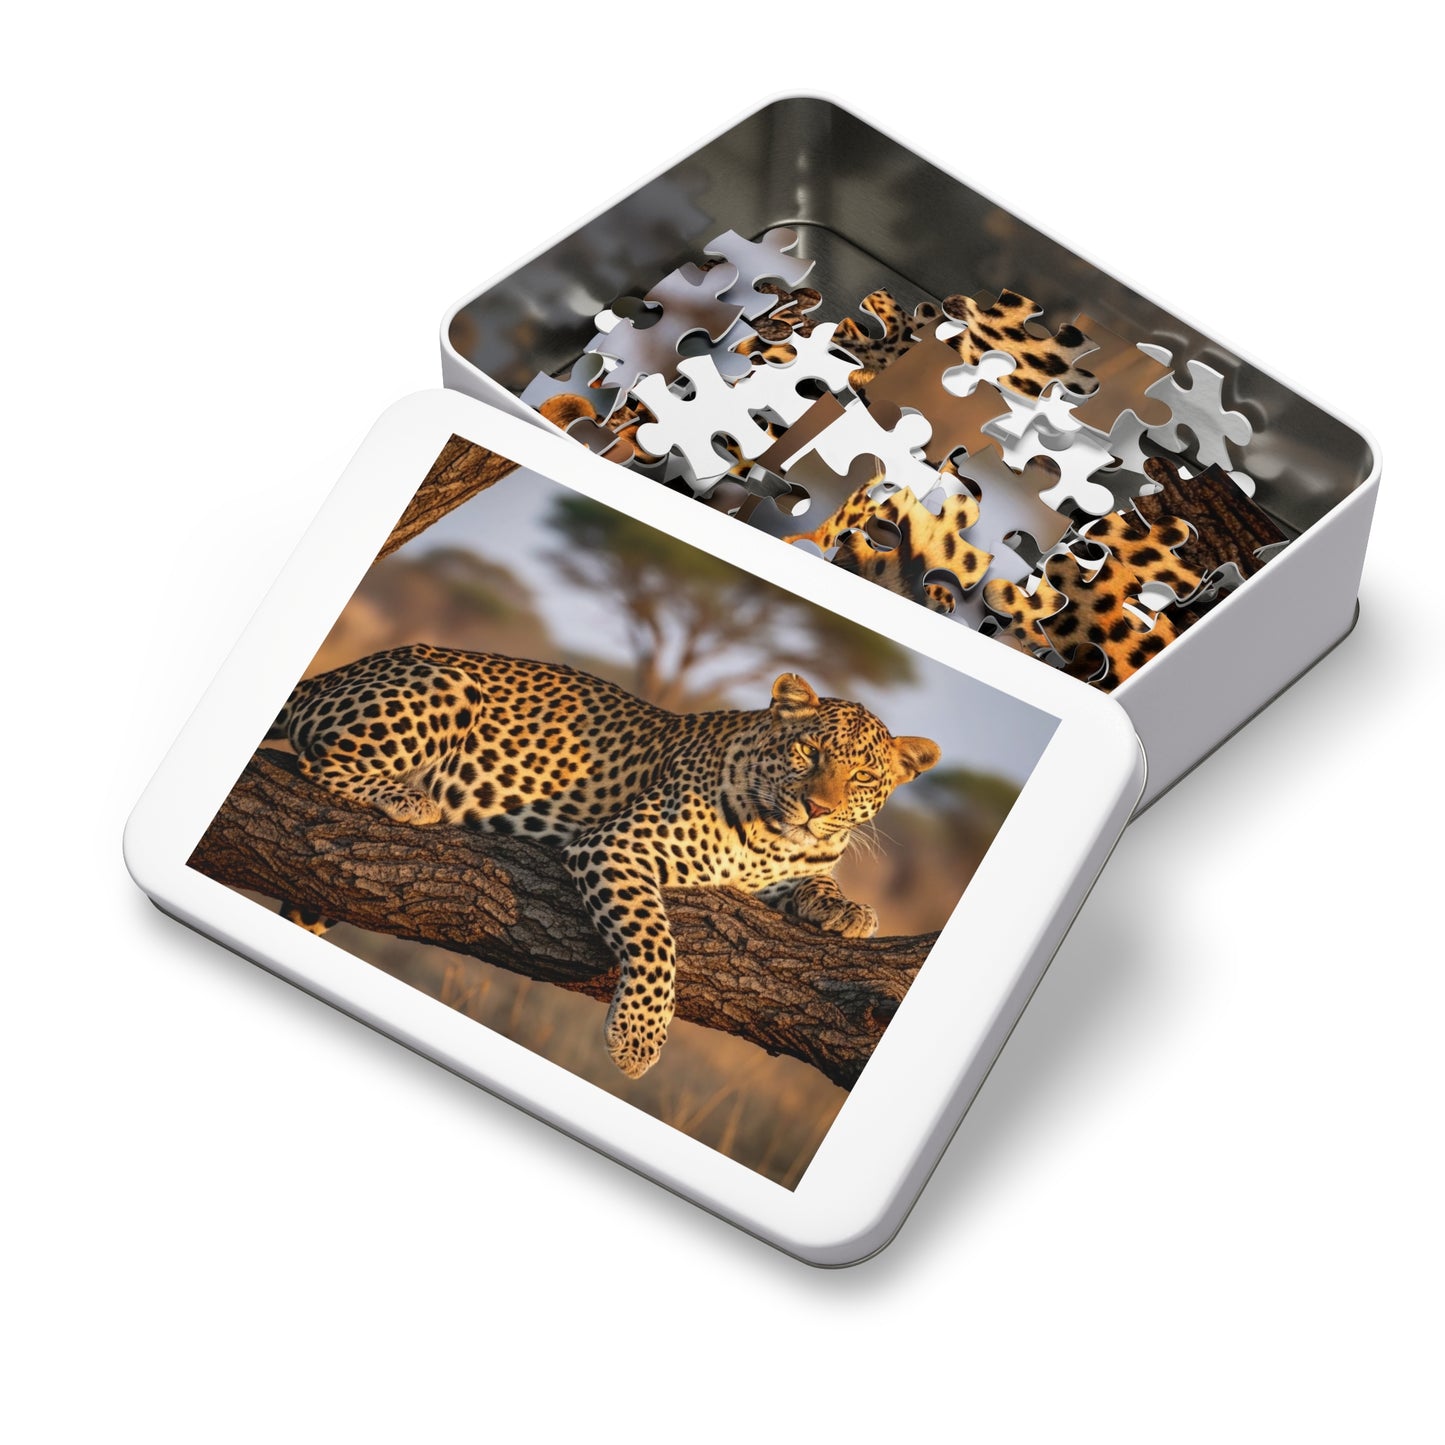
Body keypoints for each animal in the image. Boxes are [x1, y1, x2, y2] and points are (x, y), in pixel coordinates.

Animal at [268, 645, 940, 1080]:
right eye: (808, 751)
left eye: (862, 777)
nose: (816, 806)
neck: (776, 837)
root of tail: (334, 673)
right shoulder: (617, 846)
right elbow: (657, 941)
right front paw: (638, 1042)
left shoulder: (783, 865)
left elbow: (815, 878)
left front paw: (847, 910)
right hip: (446, 686)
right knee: (321, 764)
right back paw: (409, 797)